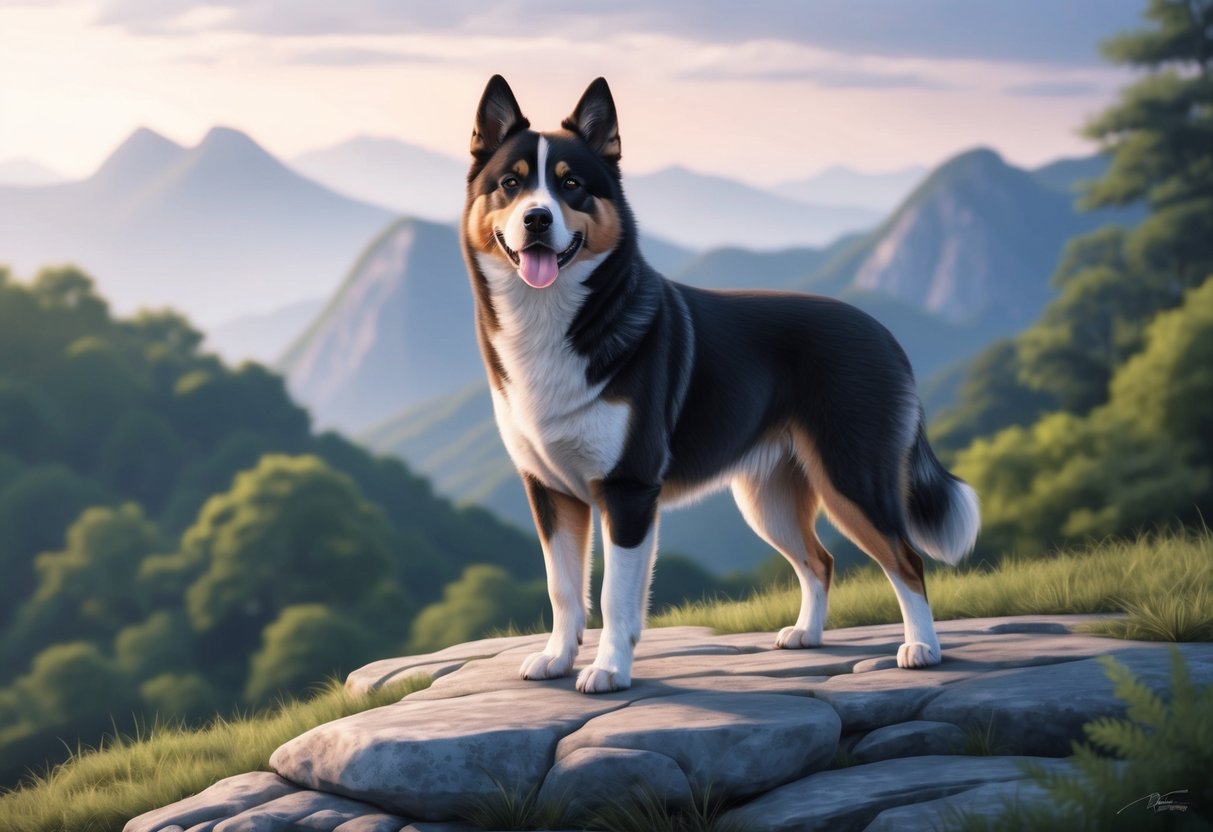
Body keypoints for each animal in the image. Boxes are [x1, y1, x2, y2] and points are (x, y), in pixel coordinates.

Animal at [458, 76, 980, 698]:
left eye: (572, 186)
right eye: (510, 184)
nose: (537, 218)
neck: (553, 321)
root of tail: (883, 334)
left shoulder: (629, 489)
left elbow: (614, 596)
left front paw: (608, 669)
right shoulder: (550, 490)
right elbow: (563, 588)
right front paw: (557, 658)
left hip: (852, 476)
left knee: (905, 559)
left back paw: (922, 648)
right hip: (769, 497)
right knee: (820, 560)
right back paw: (808, 635)